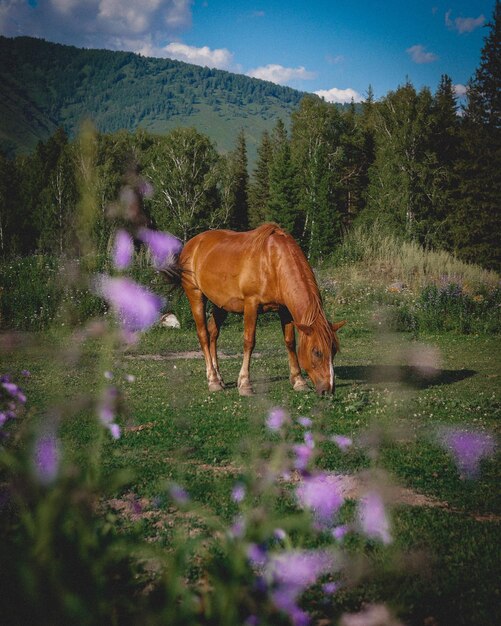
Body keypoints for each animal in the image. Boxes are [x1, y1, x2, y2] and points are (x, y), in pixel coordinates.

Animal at [166, 222, 346, 392]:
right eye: (317, 352)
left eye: (333, 351)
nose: (328, 389)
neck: (273, 262)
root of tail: (192, 244)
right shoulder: (251, 305)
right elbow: (249, 342)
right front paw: (245, 383)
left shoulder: (285, 310)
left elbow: (290, 342)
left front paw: (299, 381)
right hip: (195, 295)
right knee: (203, 334)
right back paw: (213, 380)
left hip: (220, 304)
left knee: (213, 334)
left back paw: (219, 377)